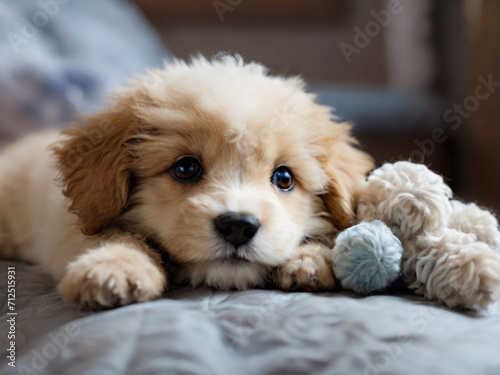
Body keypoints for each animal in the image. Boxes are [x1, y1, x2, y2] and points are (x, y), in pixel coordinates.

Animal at [0, 55, 374, 308]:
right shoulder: (70, 225)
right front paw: (114, 265)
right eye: (185, 169)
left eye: (283, 178)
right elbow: (113, 234)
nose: (238, 226)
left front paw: (312, 259)